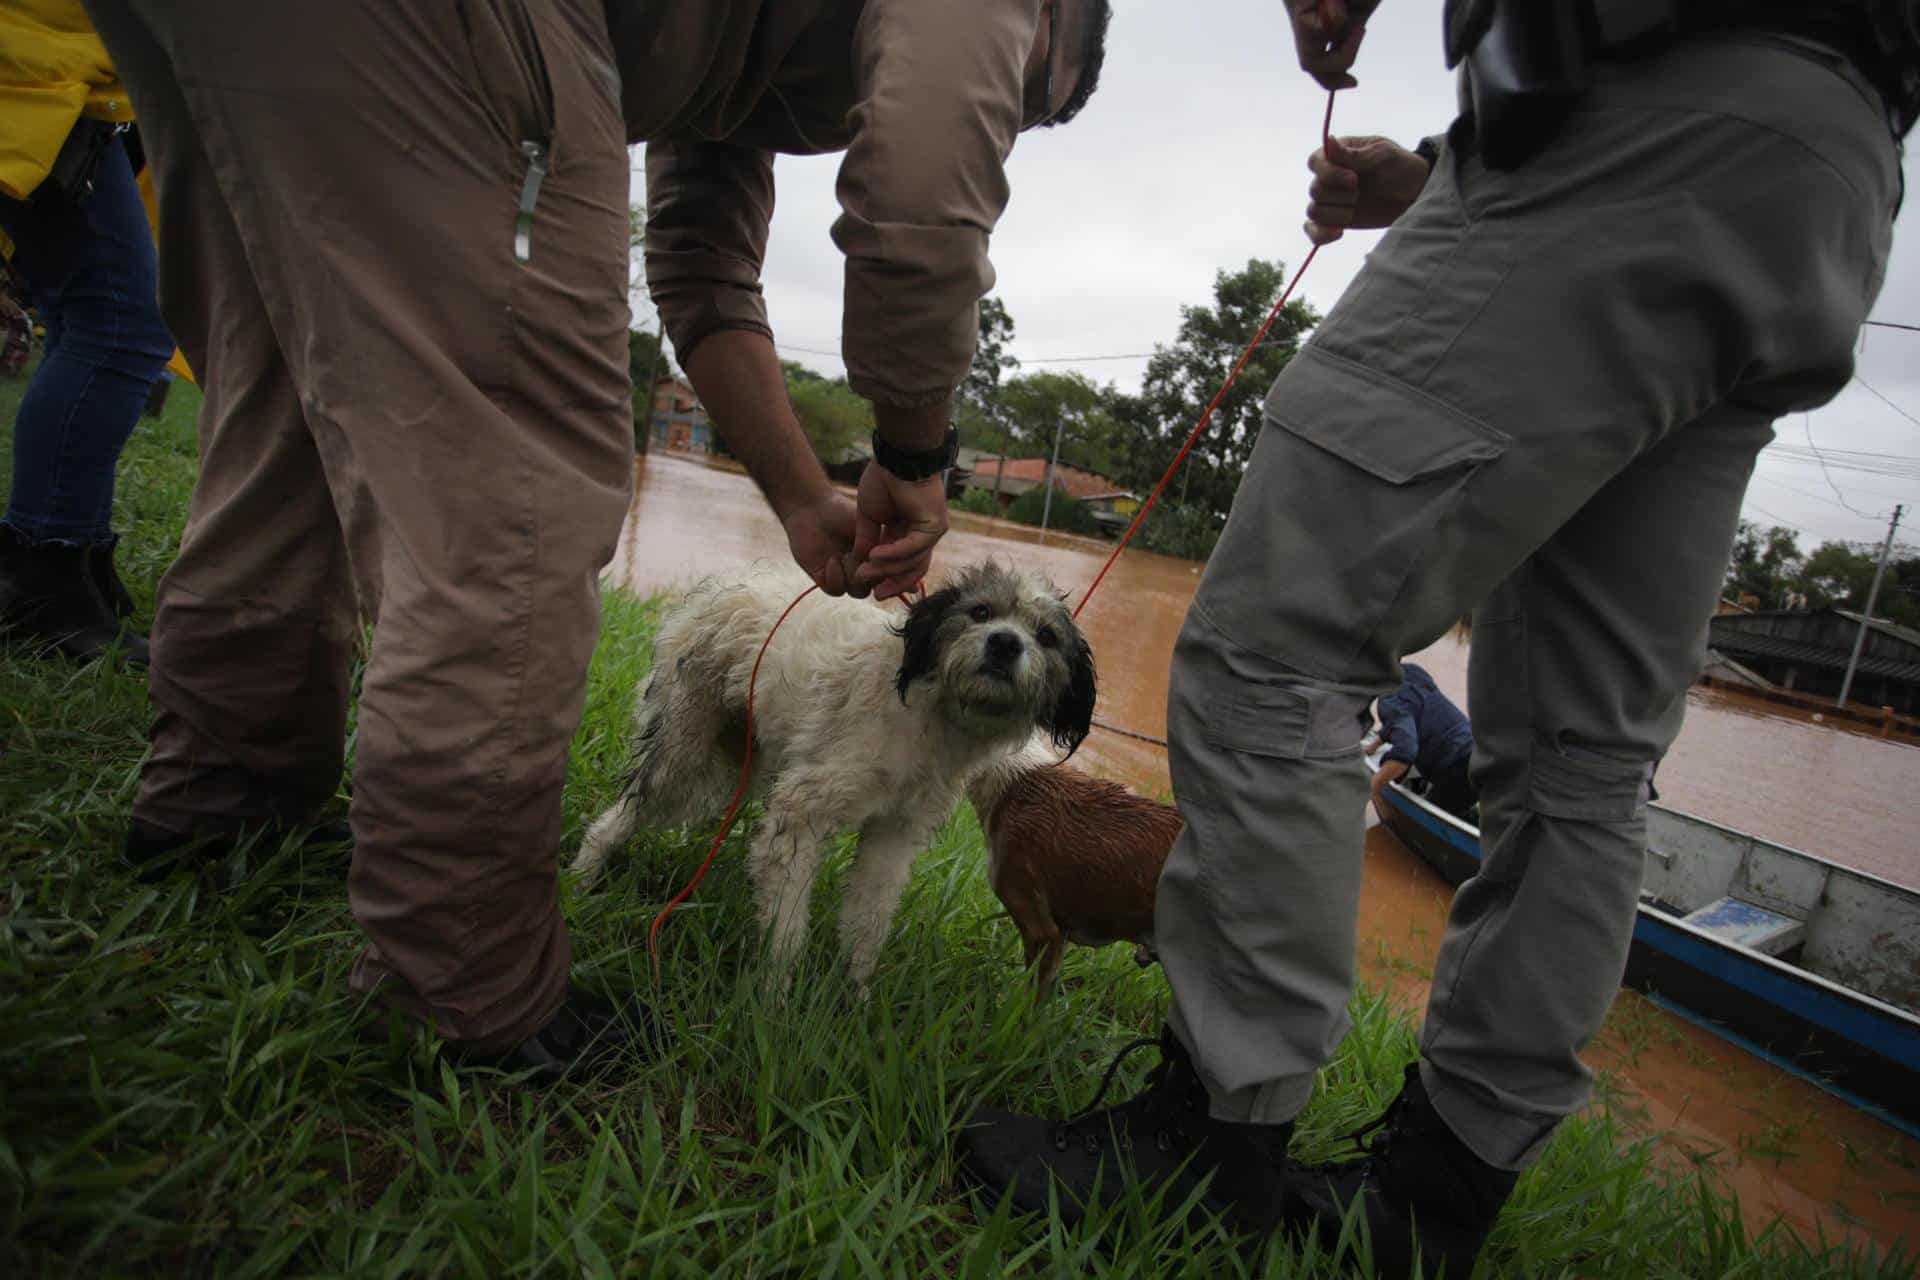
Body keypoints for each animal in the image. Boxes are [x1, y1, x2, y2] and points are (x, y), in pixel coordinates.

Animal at [568, 564, 1098, 990]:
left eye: (1046, 636)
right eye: (981, 611)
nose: (1005, 643)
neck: (929, 717)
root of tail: (719, 587)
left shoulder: (895, 832)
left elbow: (869, 918)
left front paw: (853, 998)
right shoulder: (801, 811)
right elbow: (786, 929)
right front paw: (774, 1003)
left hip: (741, 759)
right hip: (684, 749)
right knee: (622, 813)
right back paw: (580, 878)